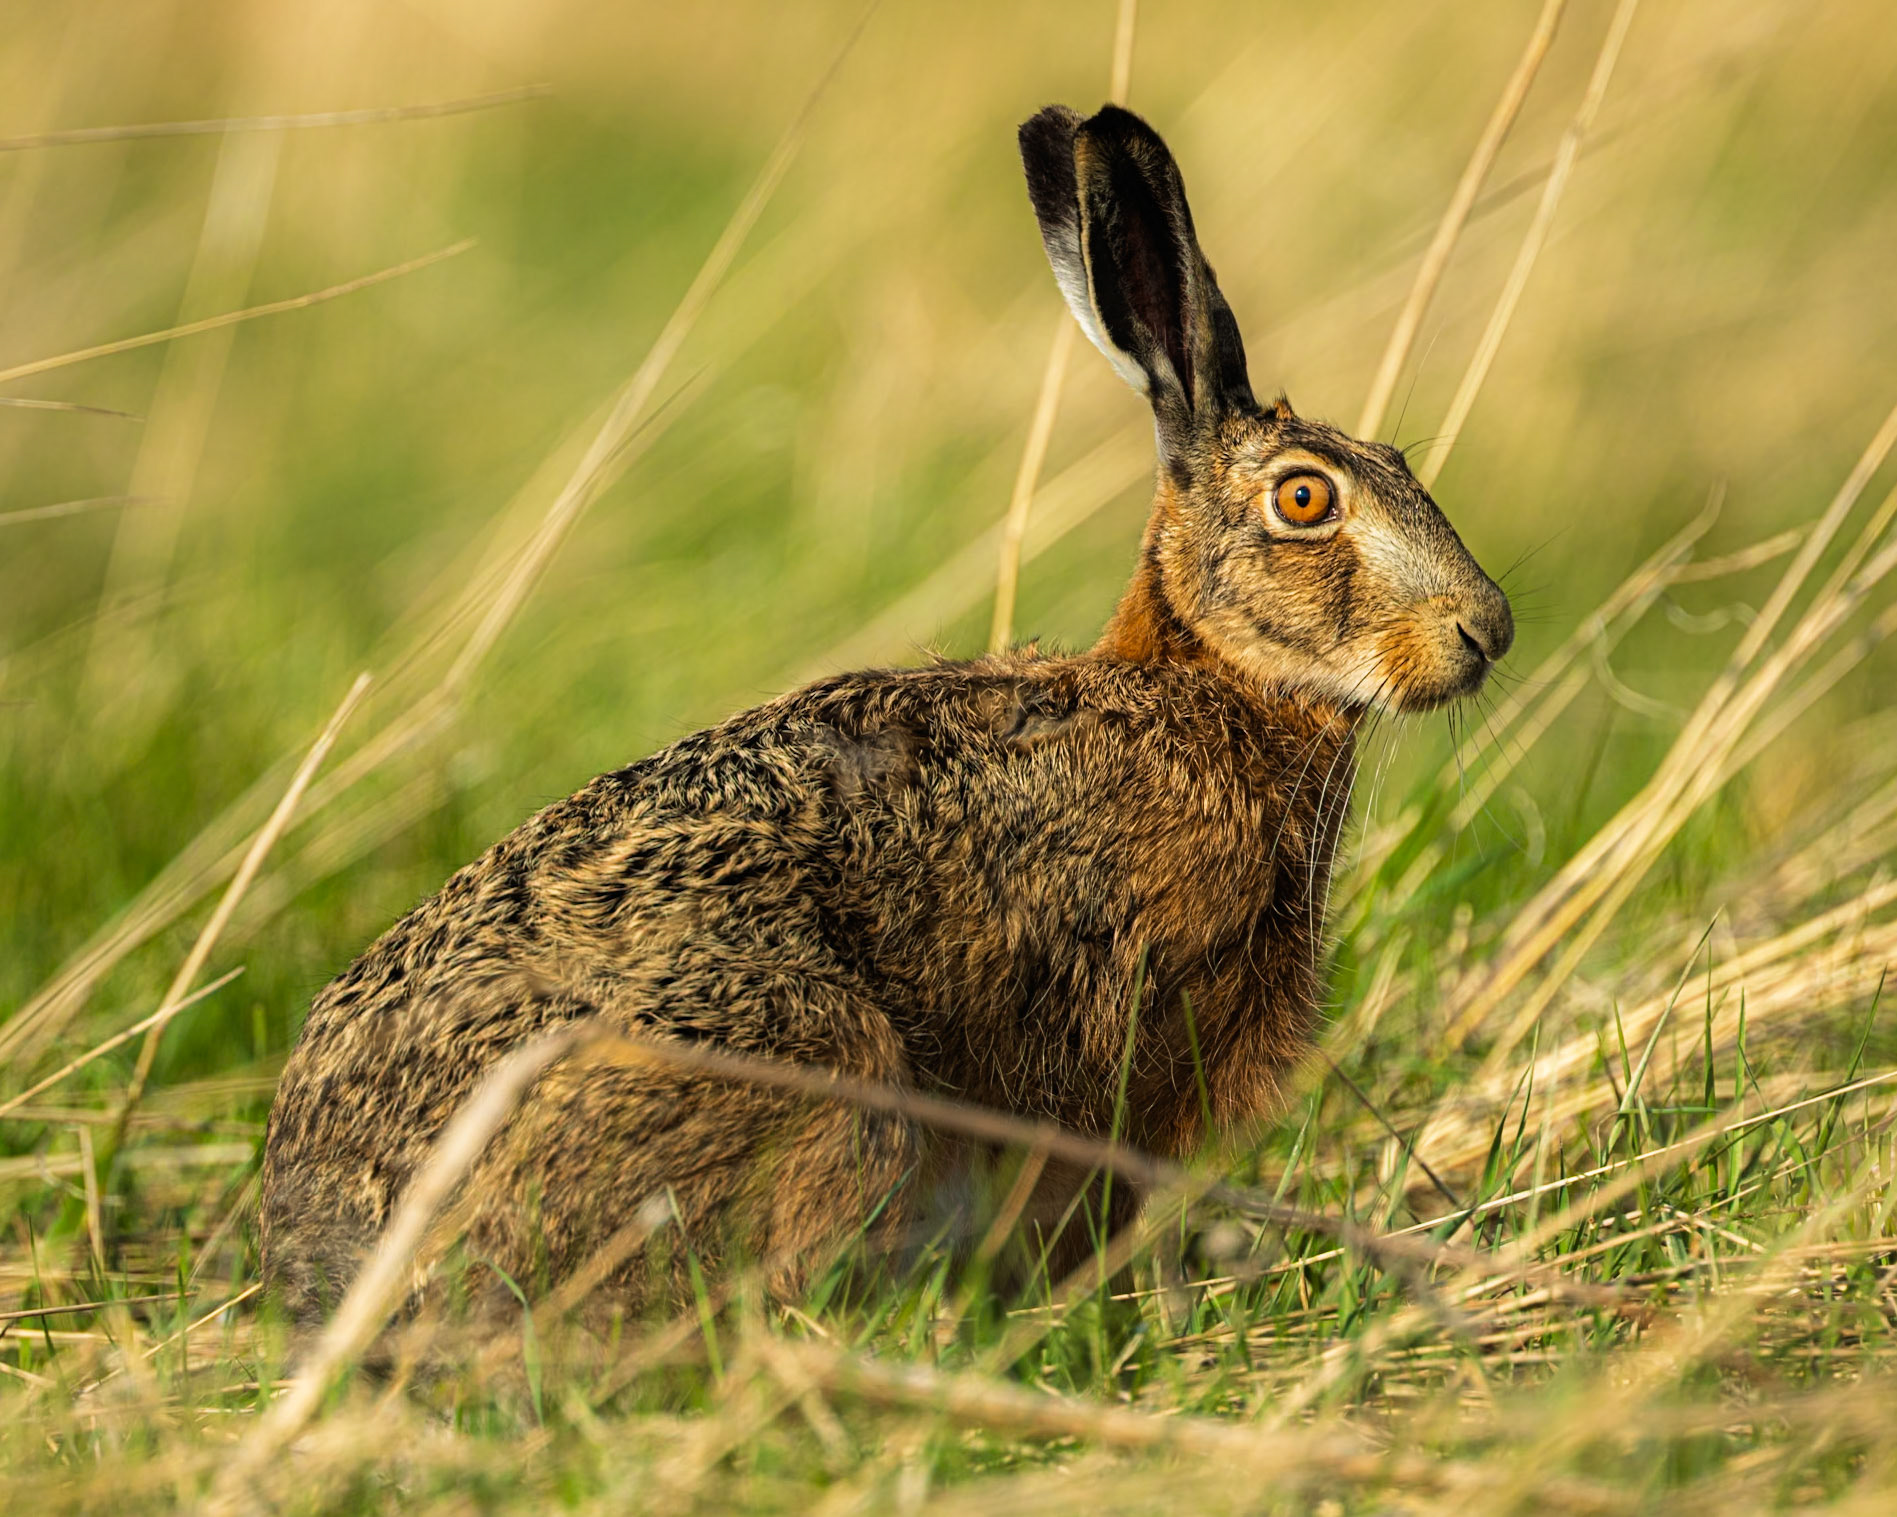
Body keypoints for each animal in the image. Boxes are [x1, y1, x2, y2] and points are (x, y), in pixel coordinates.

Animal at [259, 103, 1513, 1326]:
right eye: (1304, 498)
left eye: (1398, 460)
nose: (1486, 628)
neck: (1205, 685)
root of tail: (327, 1251)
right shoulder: (1121, 1039)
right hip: (818, 1072)